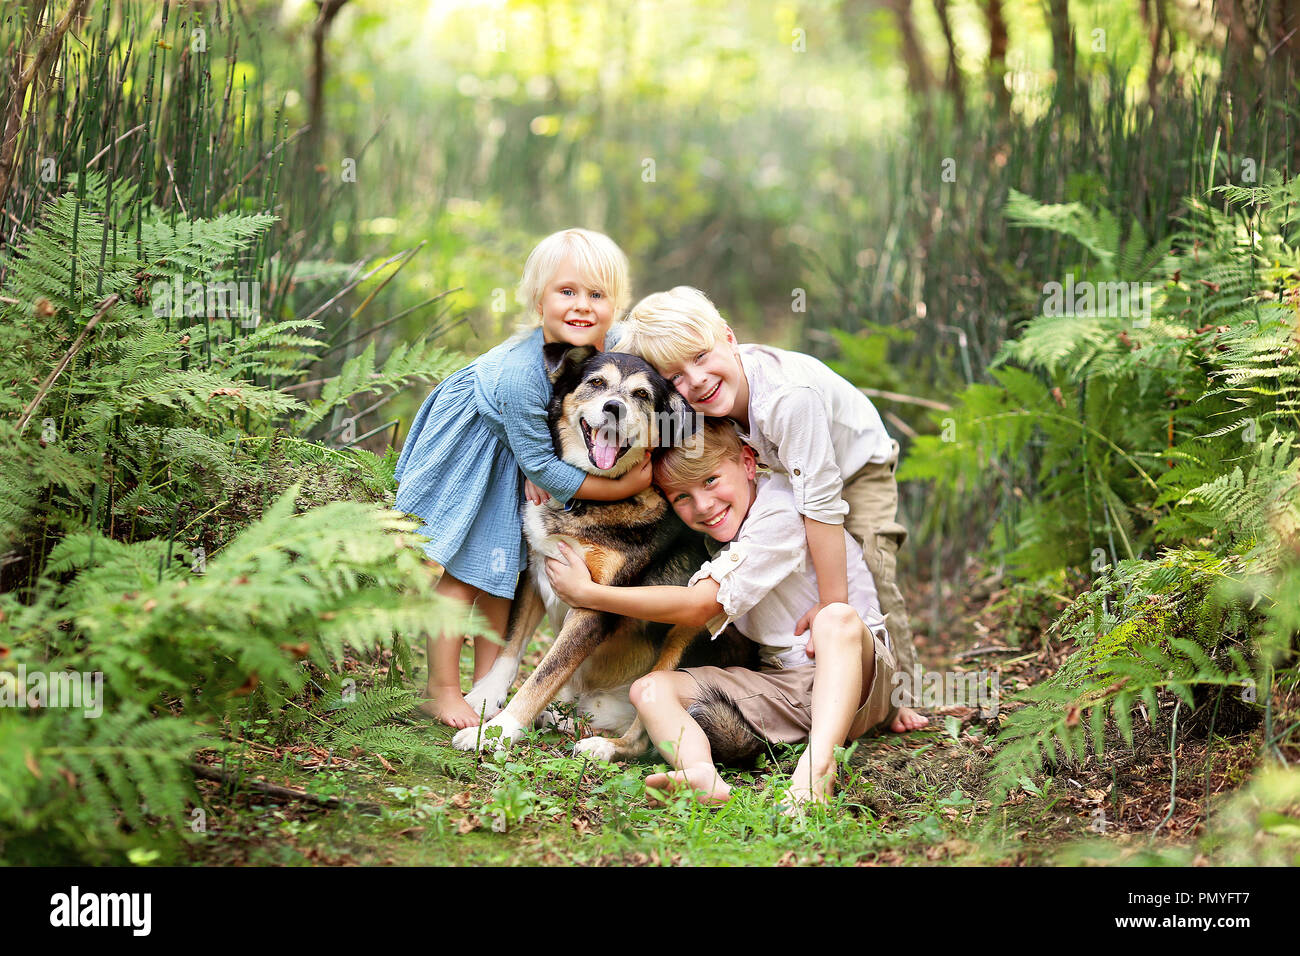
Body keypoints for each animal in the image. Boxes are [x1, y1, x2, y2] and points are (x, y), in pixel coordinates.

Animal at [452, 343, 759, 764]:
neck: (586, 501)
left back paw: (602, 746)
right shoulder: (536, 573)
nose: (614, 407)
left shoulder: (592, 606)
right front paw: (485, 696)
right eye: (597, 383)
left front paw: (497, 732)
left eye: (642, 394)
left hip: (687, 637)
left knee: (645, 738)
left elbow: (543, 674)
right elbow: (510, 649)